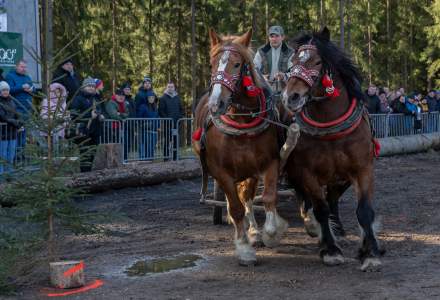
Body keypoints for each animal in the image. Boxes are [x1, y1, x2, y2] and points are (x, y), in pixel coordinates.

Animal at [192, 29, 288, 266]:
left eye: (237, 64)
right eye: (211, 64)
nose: (216, 104)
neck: (241, 121)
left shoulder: (269, 162)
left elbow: (268, 197)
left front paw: (270, 232)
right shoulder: (220, 172)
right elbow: (235, 208)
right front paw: (244, 248)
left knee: (248, 197)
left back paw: (254, 230)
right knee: (237, 201)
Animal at [280, 27, 384, 272]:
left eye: (317, 62)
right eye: (292, 63)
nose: (291, 97)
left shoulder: (363, 169)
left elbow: (364, 211)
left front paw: (370, 253)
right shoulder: (307, 173)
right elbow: (320, 209)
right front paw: (330, 250)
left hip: (341, 178)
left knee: (334, 199)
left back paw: (341, 231)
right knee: (314, 203)